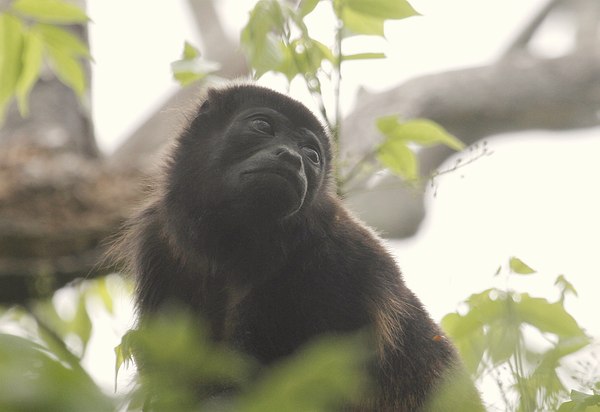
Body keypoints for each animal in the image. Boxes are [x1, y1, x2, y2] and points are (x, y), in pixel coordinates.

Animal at [119, 82, 486, 410]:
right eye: (263, 126)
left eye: (312, 155)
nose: (292, 157)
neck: (234, 249)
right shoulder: (159, 244)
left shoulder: (340, 261)